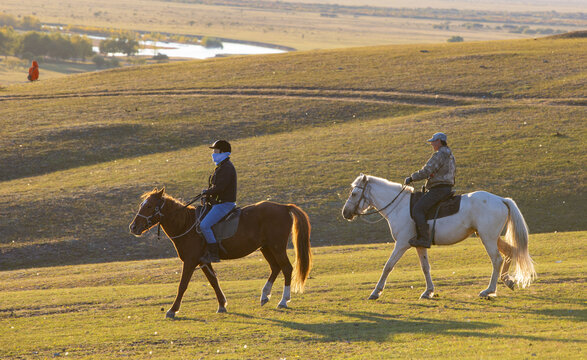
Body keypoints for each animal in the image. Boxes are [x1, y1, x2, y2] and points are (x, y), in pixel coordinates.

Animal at [129, 188, 312, 318]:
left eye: (149, 206)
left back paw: (283, 301)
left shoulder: (190, 261)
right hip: (266, 248)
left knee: (287, 268)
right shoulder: (204, 262)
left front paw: (172, 310)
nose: (133, 227)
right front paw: (222, 305)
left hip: (276, 247)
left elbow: (182, 285)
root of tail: (284, 207)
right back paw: (264, 296)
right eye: (141, 205)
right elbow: (214, 282)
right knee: (275, 268)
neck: (186, 224)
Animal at [340, 174, 536, 298]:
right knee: (510, 252)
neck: (399, 206)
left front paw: (376, 292)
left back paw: (489, 290)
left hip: (487, 238)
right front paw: (428, 292)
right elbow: (425, 268)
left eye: (355, 193)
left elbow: (388, 266)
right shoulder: (419, 244)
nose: (345, 213)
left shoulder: (402, 244)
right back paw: (508, 281)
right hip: (490, 236)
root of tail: (501, 199)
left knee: (497, 259)